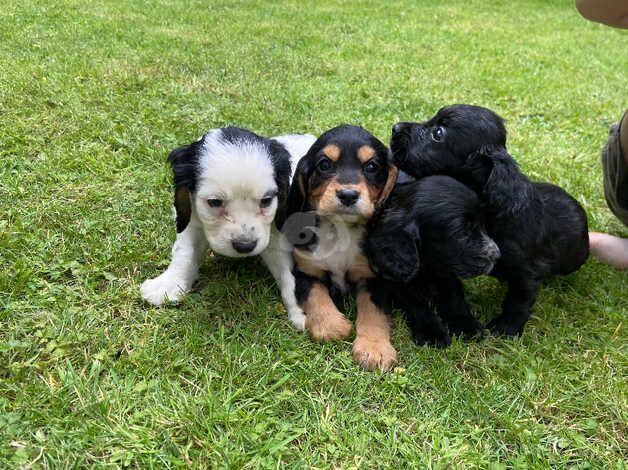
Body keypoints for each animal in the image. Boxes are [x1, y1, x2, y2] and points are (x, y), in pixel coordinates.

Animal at [144, 126, 318, 330]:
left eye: (266, 201)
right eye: (214, 202)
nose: (245, 246)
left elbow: (289, 273)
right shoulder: (192, 219)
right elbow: (185, 252)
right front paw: (168, 284)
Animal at [284, 124, 398, 370]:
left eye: (371, 167)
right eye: (325, 164)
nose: (348, 195)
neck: (339, 230)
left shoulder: (373, 278)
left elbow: (373, 311)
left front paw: (374, 349)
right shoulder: (305, 271)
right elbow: (316, 296)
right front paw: (331, 326)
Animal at [366, 174, 498, 346]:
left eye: (483, 224)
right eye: (462, 234)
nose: (497, 255)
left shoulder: (446, 264)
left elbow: (453, 292)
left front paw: (463, 323)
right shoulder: (392, 272)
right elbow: (415, 302)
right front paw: (431, 332)